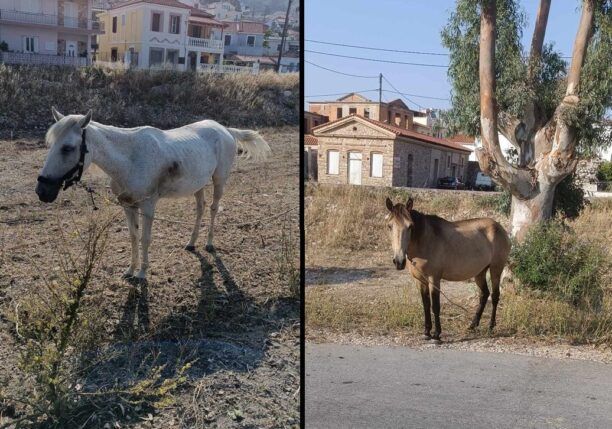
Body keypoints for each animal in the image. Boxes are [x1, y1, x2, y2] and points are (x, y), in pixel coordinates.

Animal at [35, 108, 270, 280]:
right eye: (51, 145)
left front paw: (142, 274)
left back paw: (209, 243)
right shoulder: (128, 206)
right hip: (198, 185)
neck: (130, 159)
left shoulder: (148, 206)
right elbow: (133, 237)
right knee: (200, 209)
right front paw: (130, 271)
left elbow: (146, 238)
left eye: (67, 148)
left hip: (219, 180)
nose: (42, 191)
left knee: (213, 208)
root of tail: (225, 130)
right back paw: (191, 242)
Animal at [388, 196, 512, 342]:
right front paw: (426, 332)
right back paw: (473, 325)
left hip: (496, 268)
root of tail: (500, 227)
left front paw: (437, 335)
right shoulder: (420, 281)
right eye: (389, 226)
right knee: (484, 295)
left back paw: (491, 327)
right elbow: (426, 305)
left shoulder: (434, 279)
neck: (425, 240)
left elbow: (435, 306)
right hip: (480, 272)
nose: (399, 261)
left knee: (495, 296)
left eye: (410, 226)